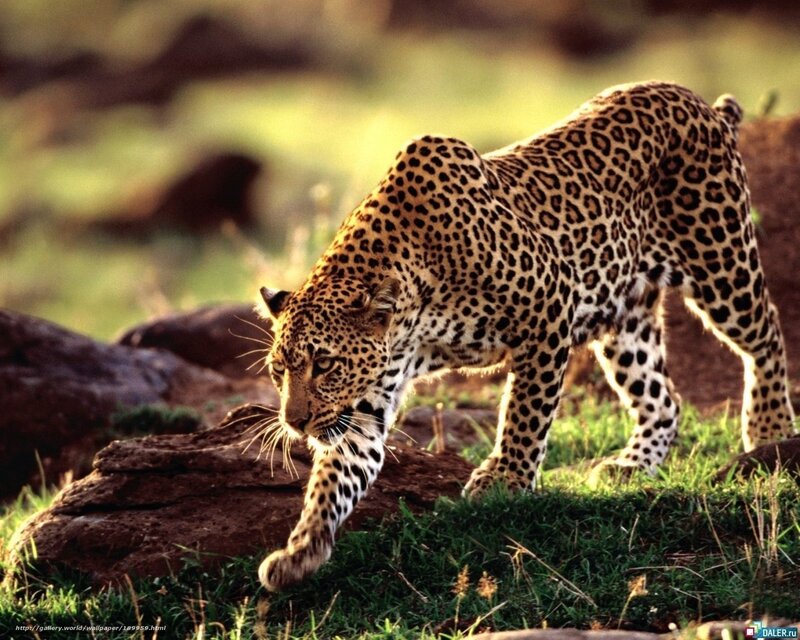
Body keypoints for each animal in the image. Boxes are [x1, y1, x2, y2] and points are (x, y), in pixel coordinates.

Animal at [255, 81, 795, 591]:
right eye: (279, 370)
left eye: (324, 365)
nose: (295, 423)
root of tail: (699, 102)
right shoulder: (366, 402)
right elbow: (337, 476)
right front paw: (300, 551)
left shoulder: (549, 307)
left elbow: (525, 411)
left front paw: (506, 479)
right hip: (625, 318)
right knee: (663, 398)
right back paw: (632, 465)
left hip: (721, 263)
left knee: (767, 333)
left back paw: (769, 431)